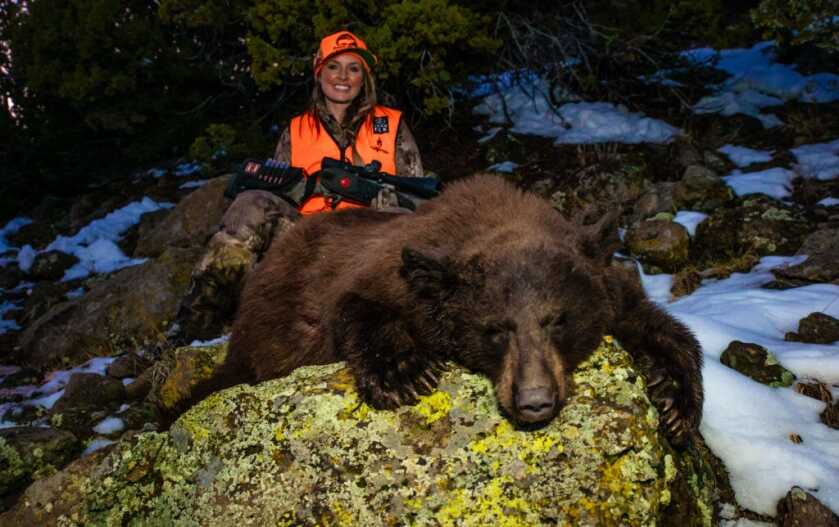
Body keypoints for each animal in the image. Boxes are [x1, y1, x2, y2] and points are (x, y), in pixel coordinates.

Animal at [220, 174, 703, 444]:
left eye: (557, 320)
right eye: (497, 329)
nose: (535, 401)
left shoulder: (605, 283)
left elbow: (659, 326)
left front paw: (676, 404)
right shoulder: (390, 274)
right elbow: (356, 304)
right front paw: (404, 372)